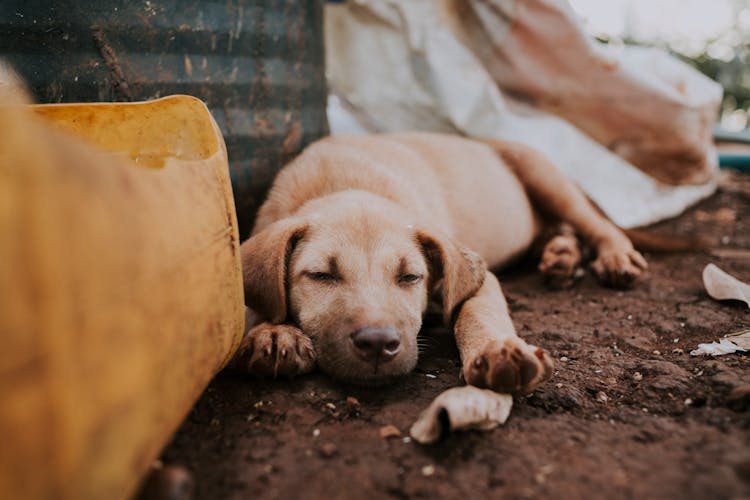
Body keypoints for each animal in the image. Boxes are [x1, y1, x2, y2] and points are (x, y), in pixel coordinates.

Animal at [232, 134, 648, 394]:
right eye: (321, 275)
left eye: (409, 276)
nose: (378, 345)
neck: (343, 183)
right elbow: (249, 302)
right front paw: (275, 332)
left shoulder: (478, 275)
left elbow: (476, 313)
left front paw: (496, 351)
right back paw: (561, 256)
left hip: (544, 175)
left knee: (594, 222)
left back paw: (614, 256)